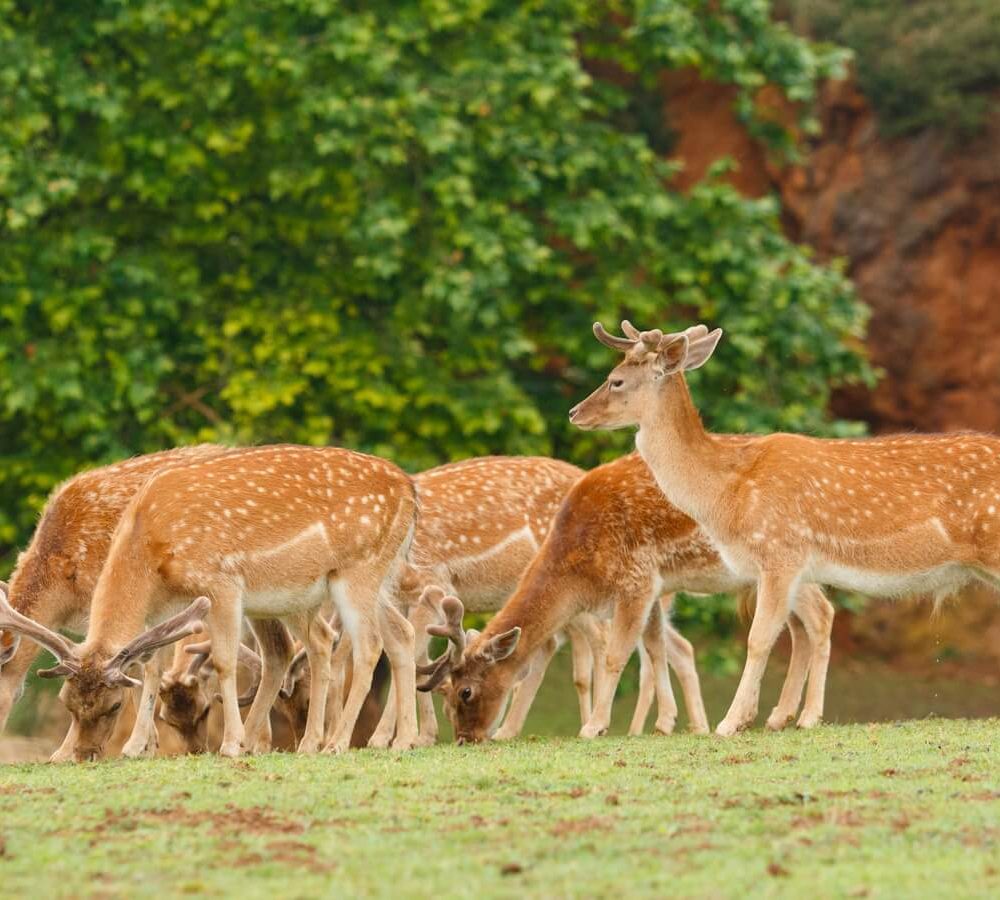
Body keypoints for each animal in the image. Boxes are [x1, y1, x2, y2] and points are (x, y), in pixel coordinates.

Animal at [416, 451, 834, 743]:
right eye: (445, 692)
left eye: (466, 691)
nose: (464, 739)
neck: (579, 566)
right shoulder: (654, 585)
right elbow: (654, 648)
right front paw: (664, 724)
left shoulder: (635, 580)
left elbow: (618, 655)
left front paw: (595, 726)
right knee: (798, 628)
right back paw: (779, 716)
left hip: (783, 559)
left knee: (821, 614)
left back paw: (807, 717)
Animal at [567, 319, 1000, 735]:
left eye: (615, 380)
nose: (575, 412)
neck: (727, 494)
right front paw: (759, 718)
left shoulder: (779, 551)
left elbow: (758, 639)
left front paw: (730, 723)